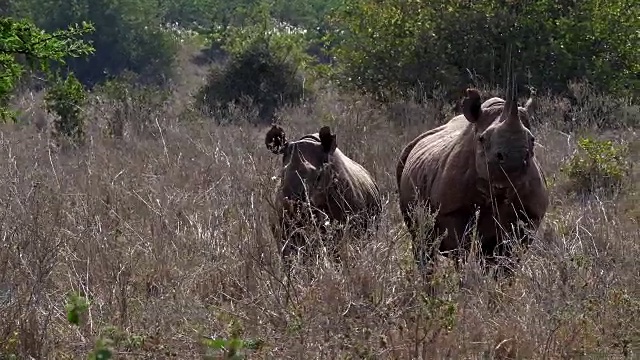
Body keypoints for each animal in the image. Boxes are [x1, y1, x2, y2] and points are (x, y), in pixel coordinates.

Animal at [396, 88, 552, 278]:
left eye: (533, 139)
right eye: (482, 139)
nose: (513, 161)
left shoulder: (528, 216)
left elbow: (508, 258)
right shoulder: (452, 210)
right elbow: (460, 252)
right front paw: (465, 280)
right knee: (422, 242)